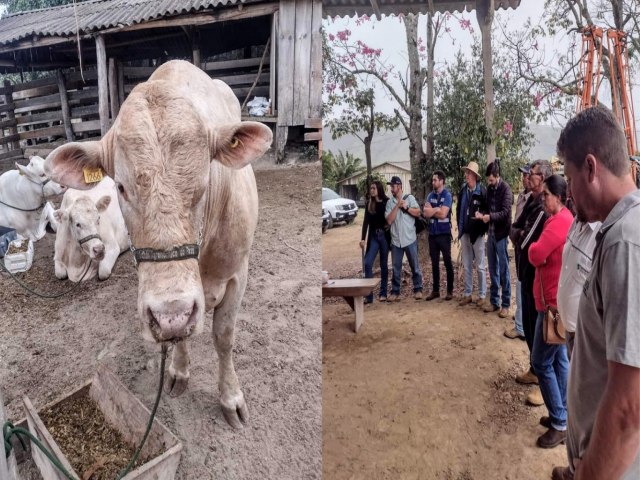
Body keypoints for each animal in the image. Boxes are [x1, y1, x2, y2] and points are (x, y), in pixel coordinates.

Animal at [45, 59, 272, 428]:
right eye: (120, 187)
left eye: (205, 182)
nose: (172, 314)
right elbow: (179, 338)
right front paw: (178, 372)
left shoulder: (238, 273)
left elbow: (224, 337)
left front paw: (231, 397)